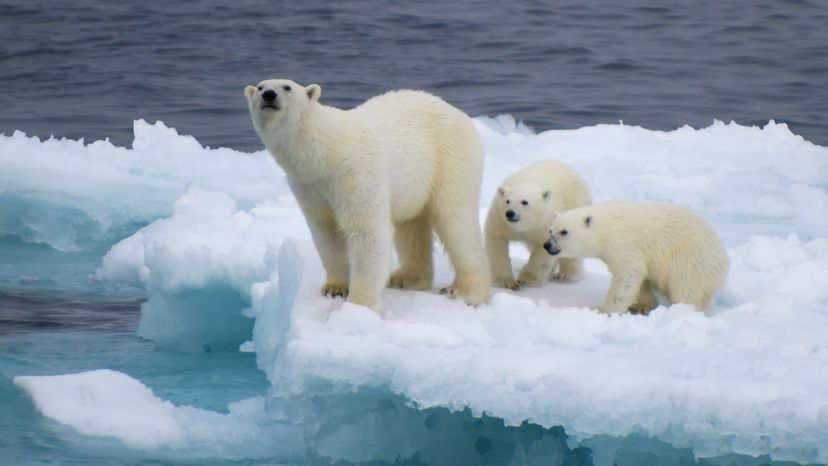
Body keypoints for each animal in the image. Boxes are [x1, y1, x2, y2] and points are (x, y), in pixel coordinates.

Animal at [246, 78, 492, 312]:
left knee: (455, 220)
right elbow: (326, 231)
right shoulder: (308, 186)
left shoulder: (356, 173)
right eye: (259, 87)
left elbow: (366, 231)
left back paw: (464, 291)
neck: (325, 152)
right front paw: (334, 287)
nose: (269, 95)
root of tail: (459, 113)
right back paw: (406, 278)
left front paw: (359, 305)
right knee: (410, 224)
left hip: (450, 158)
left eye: (286, 87)